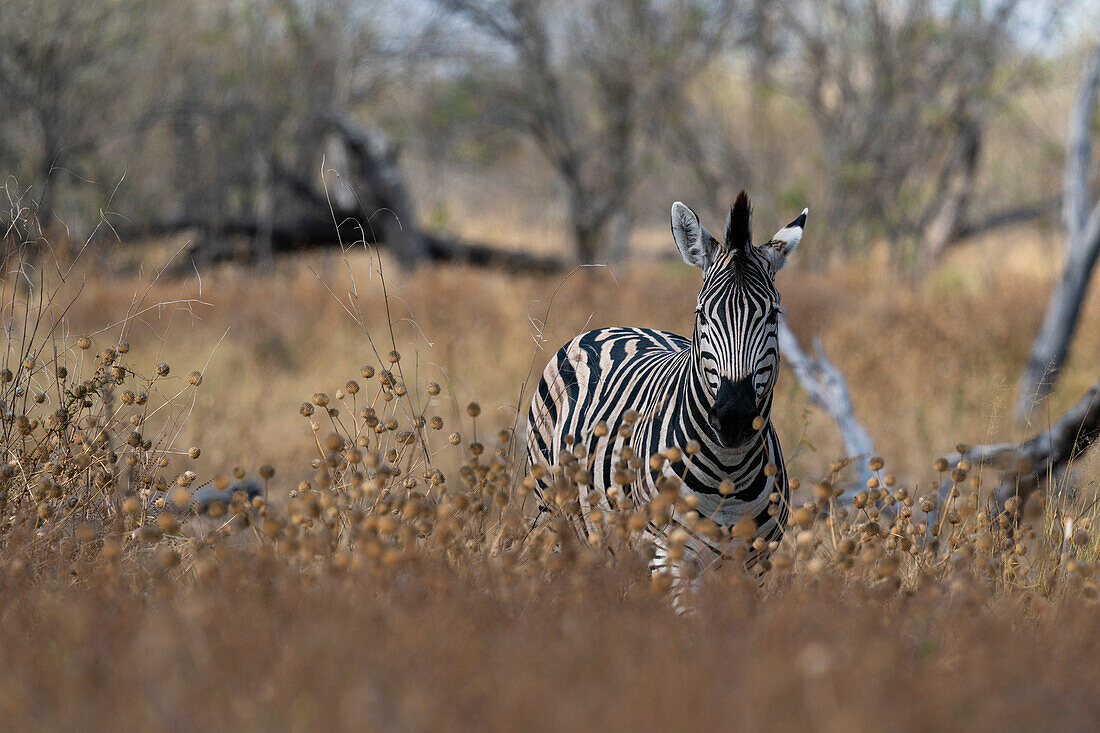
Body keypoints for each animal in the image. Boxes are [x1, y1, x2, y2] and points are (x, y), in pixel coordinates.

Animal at [525, 191, 809, 589]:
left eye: (773, 315)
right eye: (702, 314)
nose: (734, 418)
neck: (729, 474)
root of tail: (619, 326)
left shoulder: (757, 564)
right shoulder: (669, 555)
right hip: (555, 513)